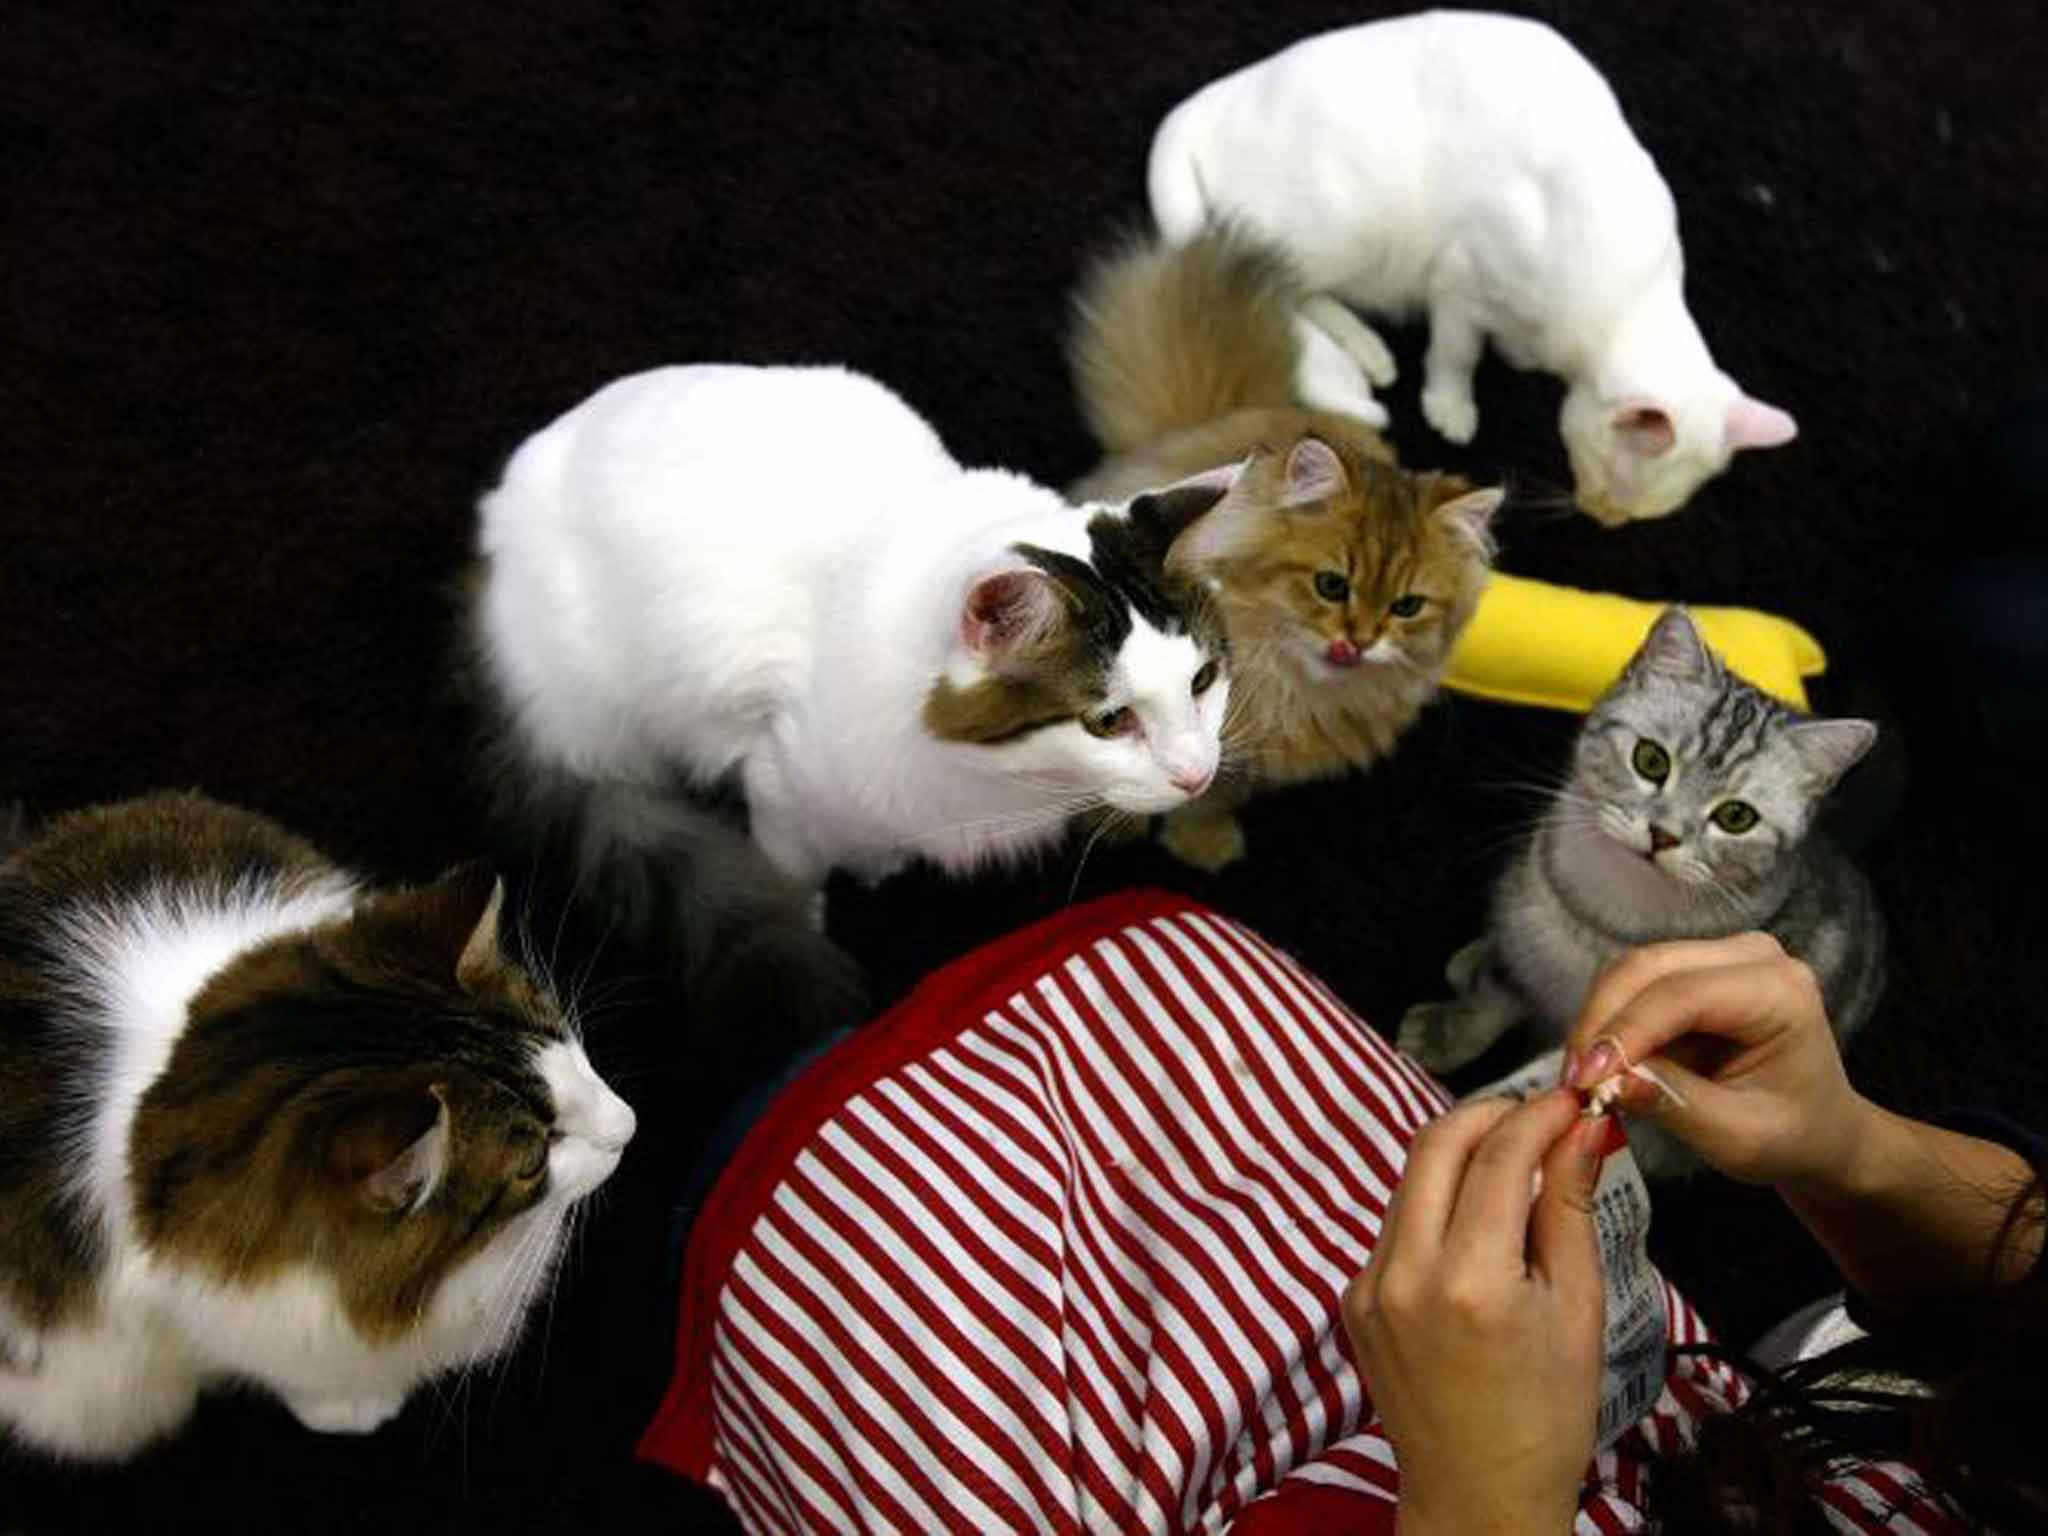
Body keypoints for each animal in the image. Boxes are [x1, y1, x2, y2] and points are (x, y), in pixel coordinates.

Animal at [466, 362, 1228, 946]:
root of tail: (504, 500)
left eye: (1203, 681)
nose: (1198, 777)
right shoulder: (780, 774)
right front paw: (807, 914)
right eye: (1109, 721)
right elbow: (793, 866)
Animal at [1073, 224, 1507, 872]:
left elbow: (1208, 795)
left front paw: (1203, 844)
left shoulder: (1239, 762)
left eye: (1406, 607)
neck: (1286, 687)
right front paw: (1115, 825)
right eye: (1331, 585)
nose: (1358, 641)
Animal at [1146, 6, 1802, 528]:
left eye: (1641, 509)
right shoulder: (1462, 279)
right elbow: (1455, 353)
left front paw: (1511, 354)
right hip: (1338, 228)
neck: (1627, 304)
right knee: (1281, 289)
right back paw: (1368, 352)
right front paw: (1451, 408)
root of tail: (1211, 100)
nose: (1604, 519)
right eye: (1609, 477)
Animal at [1400, 610, 1875, 1179]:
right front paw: (1444, 1032)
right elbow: (1494, 995)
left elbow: (1556, 1084)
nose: (1663, 835)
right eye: (1651, 761)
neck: (1605, 918)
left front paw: (1484, 1117)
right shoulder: (1527, 934)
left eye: (1736, 817)